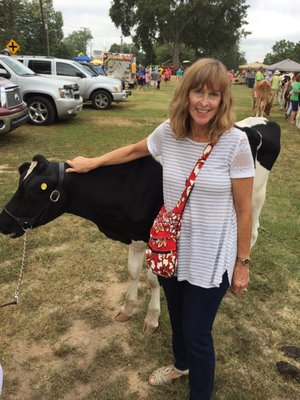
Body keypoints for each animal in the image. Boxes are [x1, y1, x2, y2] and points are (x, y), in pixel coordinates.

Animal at [0, 117, 282, 332]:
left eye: (31, 191)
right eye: (19, 183)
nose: (3, 222)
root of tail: (260, 122)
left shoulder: (154, 238)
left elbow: (153, 280)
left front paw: (152, 318)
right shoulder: (134, 236)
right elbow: (134, 272)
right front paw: (128, 308)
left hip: (255, 197)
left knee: (251, 232)